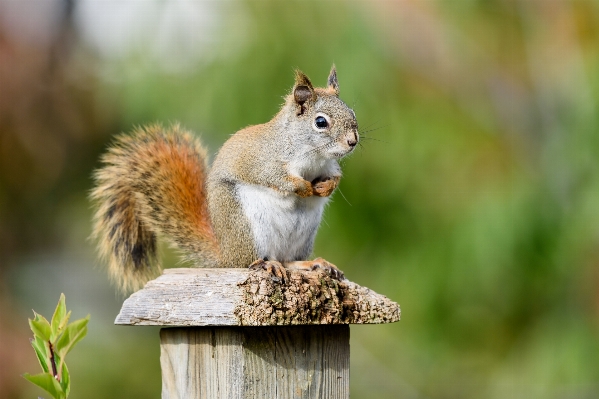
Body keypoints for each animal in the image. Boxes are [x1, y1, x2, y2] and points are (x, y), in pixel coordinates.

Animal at [91, 66, 358, 294]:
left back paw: (310, 263)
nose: (353, 141)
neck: (313, 155)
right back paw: (266, 264)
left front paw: (326, 187)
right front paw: (303, 187)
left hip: (303, 235)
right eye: (320, 122)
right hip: (246, 227)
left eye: (352, 112)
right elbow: (274, 177)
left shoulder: (329, 165)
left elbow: (336, 176)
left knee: (288, 260)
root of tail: (224, 255)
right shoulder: (263, 160)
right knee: (250, 261)